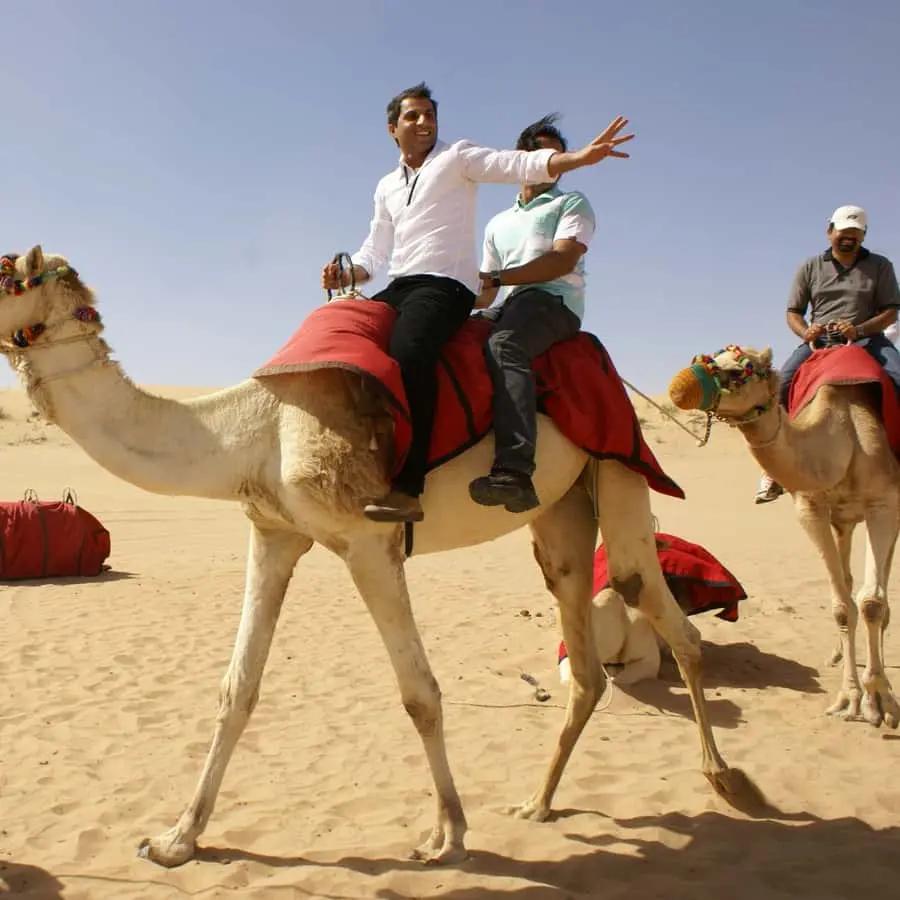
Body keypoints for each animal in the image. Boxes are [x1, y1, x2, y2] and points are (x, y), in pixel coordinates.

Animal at [0, 247, 736, 868]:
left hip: (619, 465)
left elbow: (419, 694)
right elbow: (237, 688)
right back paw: (538, 803)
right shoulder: (273, 532)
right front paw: (177, 840)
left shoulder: (368, 541)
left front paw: (447, 836)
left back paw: (725, 779)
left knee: (663, 609)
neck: (256, 428)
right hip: (559, 513)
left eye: (9, 274)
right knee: (584, 659)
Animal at [669, 344, 900, 728]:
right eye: (710, 355)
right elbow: (842, 607)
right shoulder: (810, 508)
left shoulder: (883, 503)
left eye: (744, 367)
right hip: (844, 520)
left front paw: (878, 701)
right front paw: (849, 698)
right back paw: (838, 654)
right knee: (847, 581)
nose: (680, 385)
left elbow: (871, 603)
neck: (844, 437)